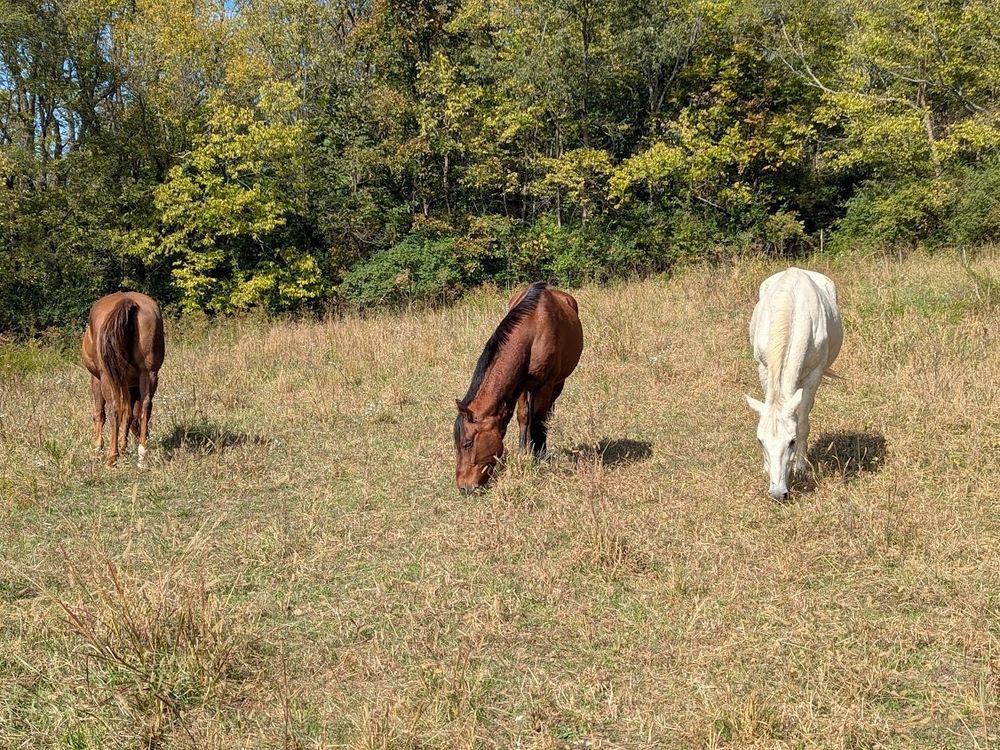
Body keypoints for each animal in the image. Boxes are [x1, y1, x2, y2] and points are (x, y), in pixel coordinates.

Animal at [82, 292, 165, 467]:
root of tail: (128, 301)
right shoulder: (131, 386)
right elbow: (131, 415)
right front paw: (125, 444)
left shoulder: (97, 379)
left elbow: (100, 413)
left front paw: (97, 447)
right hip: (149, 374)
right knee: (145, 407)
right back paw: (141, 453)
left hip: (107, 378)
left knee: (113, 409)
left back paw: (112, 456)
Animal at [454, 282, 583, 494]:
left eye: (467, 444)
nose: (464, 487)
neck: (533, 330)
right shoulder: (520, 385)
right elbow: (523, 417)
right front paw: (524, 452)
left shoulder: (545, 386)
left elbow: (538, 422)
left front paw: (538, 459)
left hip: (558, 384)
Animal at [745, 267, 842, 500]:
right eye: (760, 441)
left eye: (791, 441)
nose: (777, 493)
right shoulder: (763, 368)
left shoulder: (814, 376)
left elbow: (803, 422)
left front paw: (800, 467)